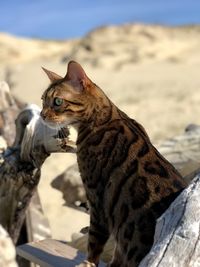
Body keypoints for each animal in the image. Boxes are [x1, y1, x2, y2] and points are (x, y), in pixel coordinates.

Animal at [41, 61, 188, 267]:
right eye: (42, 101)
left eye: (57, 102)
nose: (41, 115)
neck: (104, 117)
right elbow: (117, 251)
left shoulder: (97, 200)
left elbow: (94, 242)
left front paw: (87, 263)